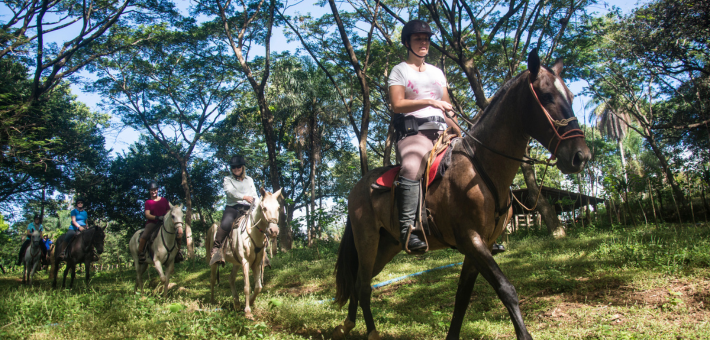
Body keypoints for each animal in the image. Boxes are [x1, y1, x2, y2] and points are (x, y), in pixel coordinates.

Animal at [206, 189, 280, 318]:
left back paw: (236, 303)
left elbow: (258, 287)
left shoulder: (256, 263)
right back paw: (212, 301)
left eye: (278, 208)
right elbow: (247, 287)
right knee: (213, 279)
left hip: (236, 262)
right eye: (264, 208)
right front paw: (248, 312)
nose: (274, 231)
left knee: (231, 278)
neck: (252, 232)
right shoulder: (245, 262)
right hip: (215, 262)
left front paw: (251, 302)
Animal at [334, 50, 596, 340]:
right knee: (363, 284)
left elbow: (462, 297)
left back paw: (348, 324)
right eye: (547, 96)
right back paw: (369, 331)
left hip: (387, 245)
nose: (581, 156)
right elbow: (506, 289)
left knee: (361, 281)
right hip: (367, 240)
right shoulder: (471, 239)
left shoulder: (481, 245)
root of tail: (358, 188)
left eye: (571, 97)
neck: (481, 166)